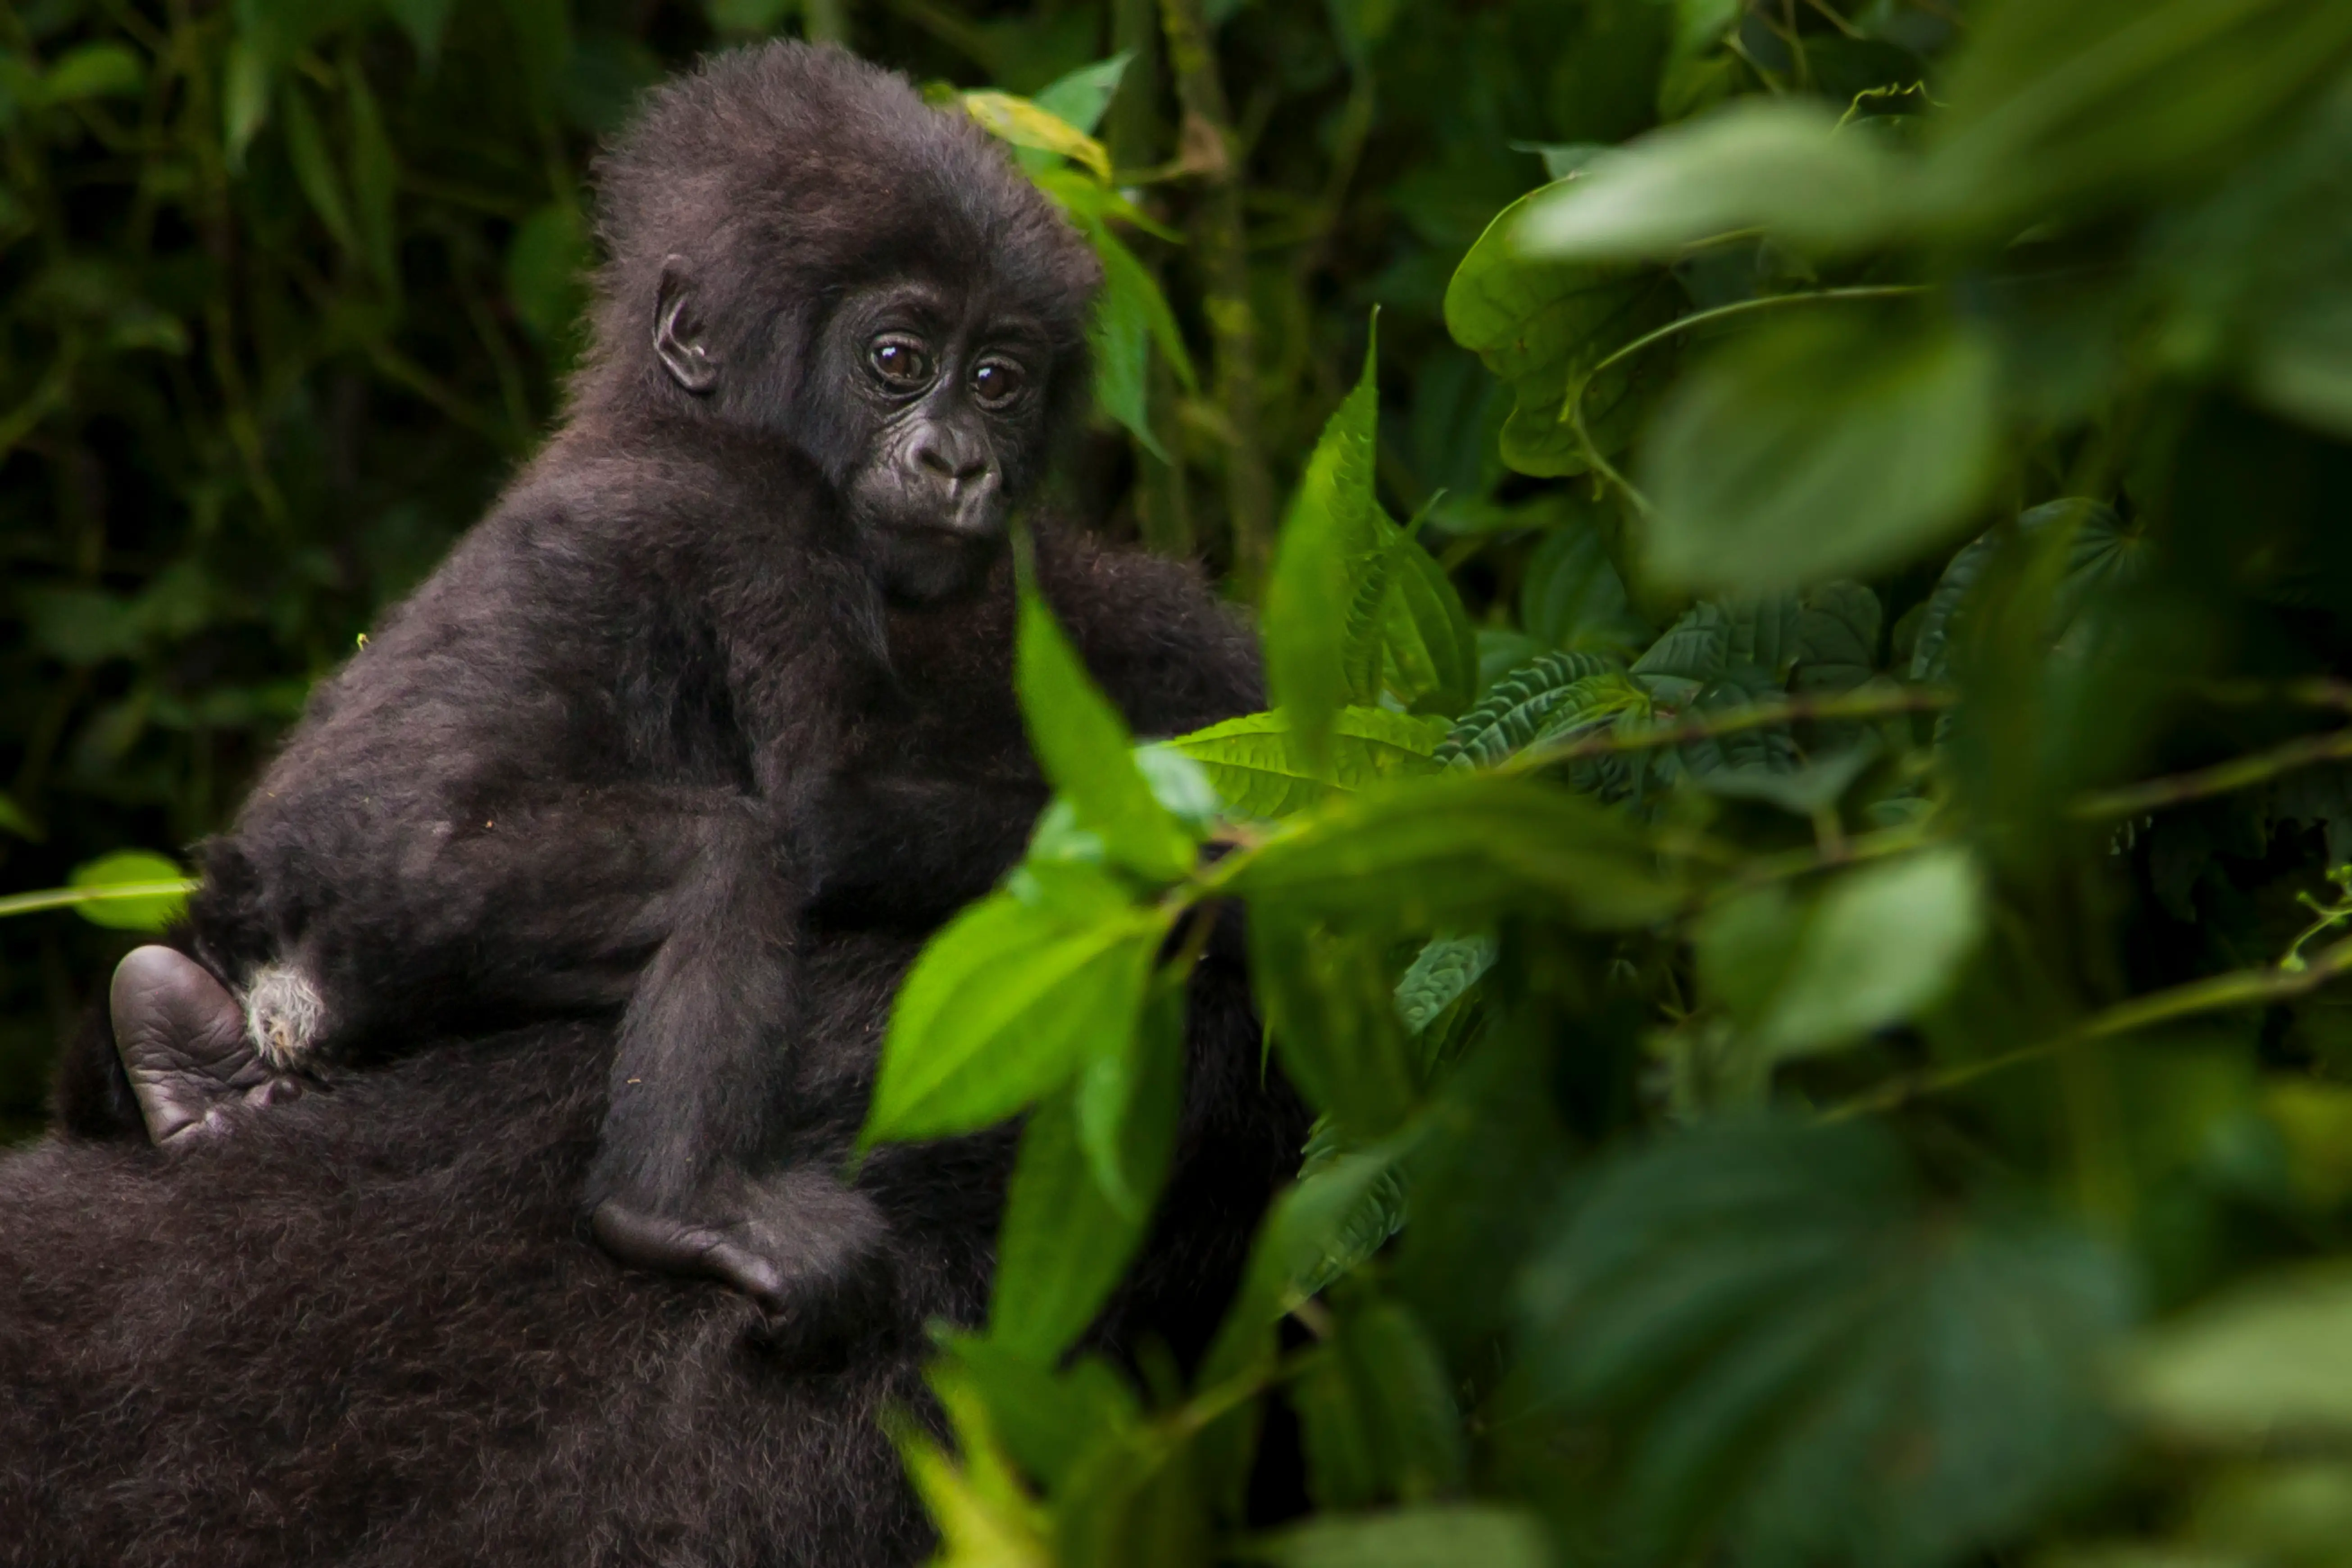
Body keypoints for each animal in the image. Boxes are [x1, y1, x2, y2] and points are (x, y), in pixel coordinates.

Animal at [69, 41, 1272, 1339]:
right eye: (897, 362)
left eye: (1000, 381)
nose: (958, 464)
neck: (659, 408)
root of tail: (274, 942)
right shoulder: (764, 515)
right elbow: (830, 797)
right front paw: (1227, 862)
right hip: (415, 891)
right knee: (728, 863)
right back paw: (674, 1209)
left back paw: (185, 1071)